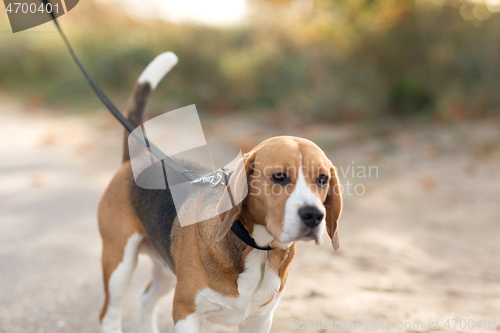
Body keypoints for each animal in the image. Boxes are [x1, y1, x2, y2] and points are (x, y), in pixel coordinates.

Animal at [96, 52, 342, 332]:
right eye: (279, 176)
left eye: (322, 179)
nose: (313, 215)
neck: (258, 250)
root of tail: (136, 160)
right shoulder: (186, 312)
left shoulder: (259, 320)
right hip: (119, 264)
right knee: (109, 314)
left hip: (166, 268)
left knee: (146, 298)